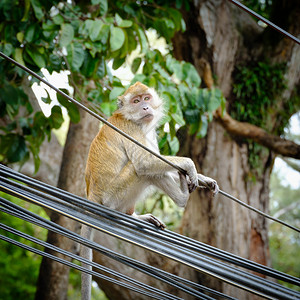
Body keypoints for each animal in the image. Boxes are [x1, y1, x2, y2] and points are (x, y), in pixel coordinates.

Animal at [81, 82, 219, 300]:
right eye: (136, 101)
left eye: (146, 98)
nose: (145, 107)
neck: (132, 118)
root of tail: (92, 195)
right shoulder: (131, 129)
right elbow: (145, 162)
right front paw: (189, 165)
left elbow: (159, 161)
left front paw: (203, 178)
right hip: (114, 196)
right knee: (141, 170)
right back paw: (182, 197)